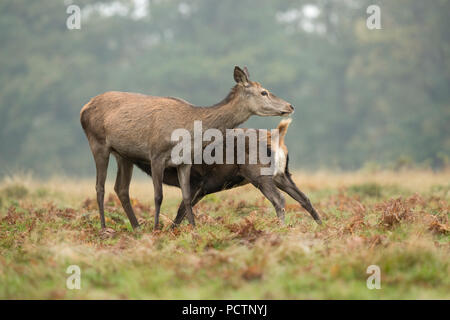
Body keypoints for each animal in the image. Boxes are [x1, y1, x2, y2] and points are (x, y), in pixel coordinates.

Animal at [79, 66, 294, 231]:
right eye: (263, 92)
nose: (290, 106)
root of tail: (84, 108)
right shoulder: (156, 155)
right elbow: (158, 196)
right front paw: (156, 229)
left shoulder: (184, 161)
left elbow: (187, 198)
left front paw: (193, 229)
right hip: (97, 142)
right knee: (100, 187)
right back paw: (104, 228)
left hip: (124, 154)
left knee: (121, 188)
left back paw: (137, 228)